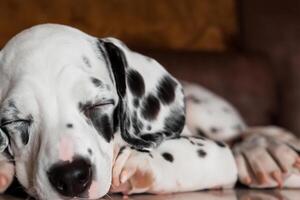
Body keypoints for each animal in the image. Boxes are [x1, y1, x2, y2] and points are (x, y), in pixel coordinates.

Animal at [0, 24, 298, 199]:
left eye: (99, 104)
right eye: (16, 120)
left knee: (242, 133)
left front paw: (143, 161)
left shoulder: (217, 153)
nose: (72, 178)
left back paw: (266, 149)